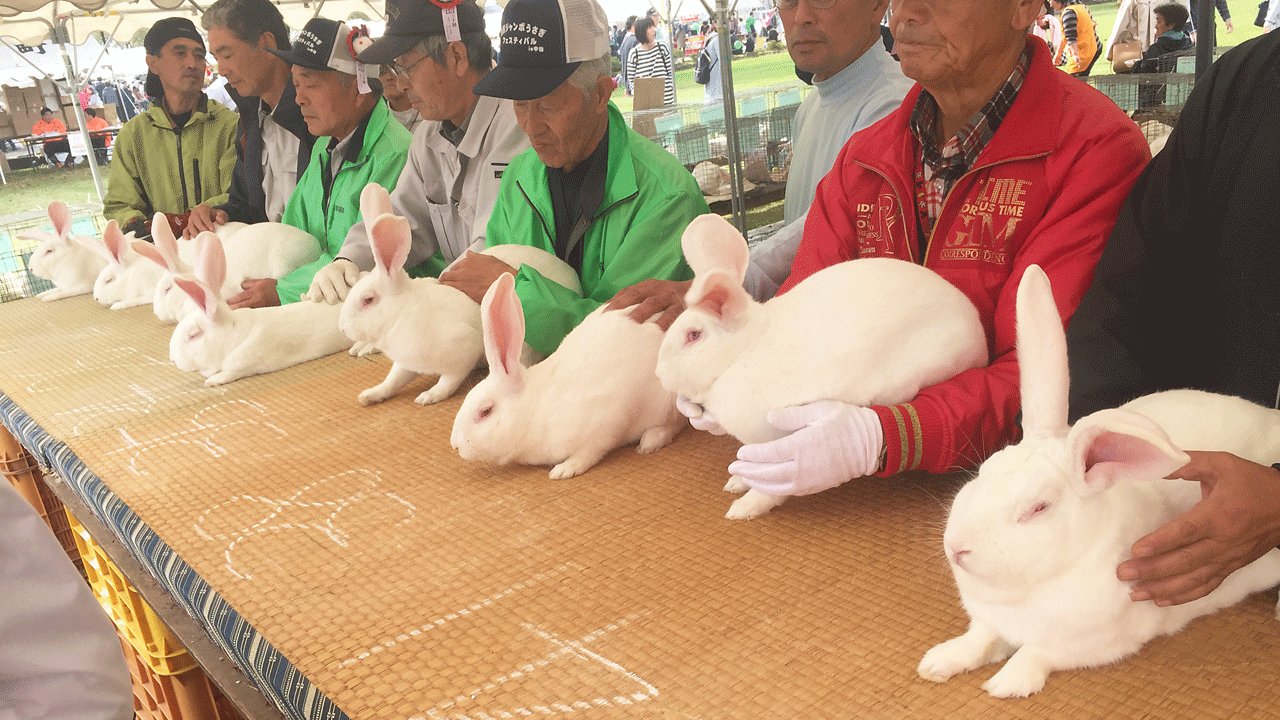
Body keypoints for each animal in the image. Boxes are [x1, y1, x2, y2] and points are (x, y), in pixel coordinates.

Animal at [169, 233, 352, 387]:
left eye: (193, 335)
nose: (173, 358)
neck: (234, 336)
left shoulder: (245, 362)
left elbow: (230, 373)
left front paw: (212, 381)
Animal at [339, 184, 582, 406]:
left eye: (368, 300)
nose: (342, 328)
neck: (405, 311)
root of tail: (573, 278)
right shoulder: (406, 364)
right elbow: (393, 380)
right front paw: (369, 396)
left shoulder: (463, 350)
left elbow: (449, 380)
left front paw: (428, 396)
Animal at [450, 272, 684, 480]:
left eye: (485, 412)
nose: (455, 444)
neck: (534, 409)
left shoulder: (606, 421)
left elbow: (589, 452)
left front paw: (564, 470)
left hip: (668, 399)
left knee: (676, 423)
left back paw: (650, 441)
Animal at [655, 214, 989, 520]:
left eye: (693, 336)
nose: (659, 373)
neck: (743, 352)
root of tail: (977, 330)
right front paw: (737, 481)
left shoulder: (781, 440)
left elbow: (769, 484)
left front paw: (744, 508)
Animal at [916, 264, 1280, 699]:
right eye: (984, 471)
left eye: (1038, 508)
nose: (957, 548)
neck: (1026, 591)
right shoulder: (990, 620)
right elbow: (980, 638)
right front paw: (937, 663)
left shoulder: (1093, 643)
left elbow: (1036, 653)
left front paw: (1006, 684)